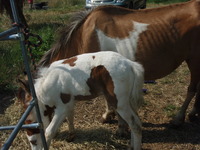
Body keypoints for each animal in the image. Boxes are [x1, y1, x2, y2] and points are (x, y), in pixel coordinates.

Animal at [38, 0, 200, 126]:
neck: (83, 35)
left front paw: (108, 116)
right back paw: (193, 114)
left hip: (194, 60)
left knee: (192, 88)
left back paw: (180, 117)